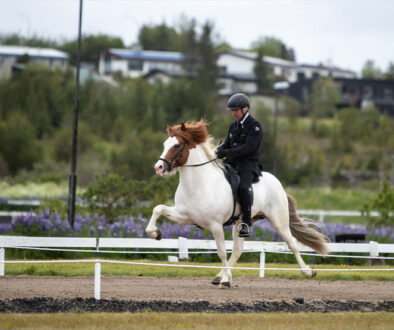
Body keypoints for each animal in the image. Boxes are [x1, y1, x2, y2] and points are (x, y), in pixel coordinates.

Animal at [146, 120, 328, 288]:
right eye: (165, 144)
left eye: (176, 145)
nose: (158, 168)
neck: (199, 184)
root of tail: (278, 184)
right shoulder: (184, 217)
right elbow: (158, 209)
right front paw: (156, 233)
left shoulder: (215, 225)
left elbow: (221, 252)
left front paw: (227, 281)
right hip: (241, 223)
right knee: (238, 250)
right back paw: (220, 276)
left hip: (279, 221)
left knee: (292, 243)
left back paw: (308, 272)